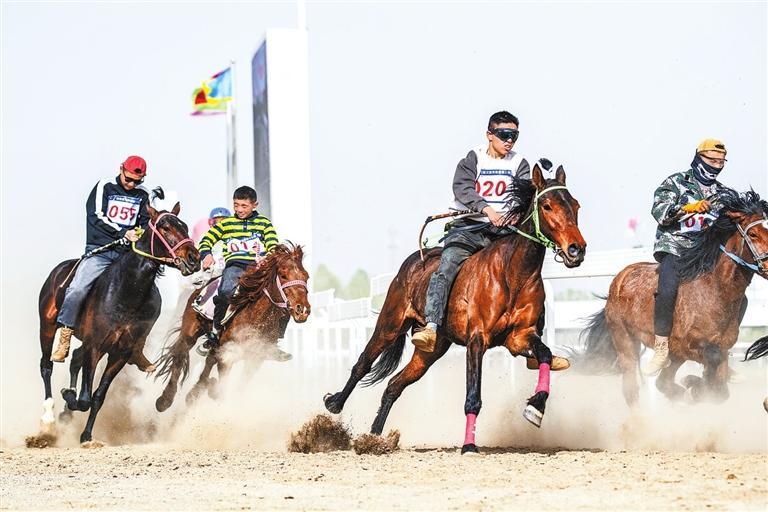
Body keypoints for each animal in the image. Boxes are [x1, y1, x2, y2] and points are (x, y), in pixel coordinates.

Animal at [37, 203, 200, 443]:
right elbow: (84, 399)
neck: (127, 290)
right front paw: (69, 396)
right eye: (165, 227)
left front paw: (86, 435)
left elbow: (97, 396)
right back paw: (48, 417)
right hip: (47, 326)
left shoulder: (120, 352)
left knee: (75, 357)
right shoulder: (95, 346)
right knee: (46, 366)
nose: (194, 259)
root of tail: (59, 270)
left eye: (185, 227)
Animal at [154, 243, 311, 412]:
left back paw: (194, 393)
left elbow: (239, 386)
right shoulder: (228, 355)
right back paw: (164, 400)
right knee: (180, 356)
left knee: (209, 359)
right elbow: (221, 387)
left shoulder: (255, 359)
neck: (255, 317)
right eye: (283, 276)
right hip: (190, 330)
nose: (302, 310)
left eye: (306, 277)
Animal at [323, 164, 586, 454]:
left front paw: (535, 407)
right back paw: (334, 404)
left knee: (393, 385)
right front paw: (469, 446)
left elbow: (545, 355)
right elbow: (473, 397)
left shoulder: (520, 337)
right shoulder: (477, 340)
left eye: (575, 205)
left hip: (431, 350)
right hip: (389, 325)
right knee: (362, 364)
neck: (512, 274)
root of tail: (413, 262)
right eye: (547, 206)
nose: (577, 249)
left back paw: (374, 437)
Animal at [577, 188, 768, 406]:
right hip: (625, 341)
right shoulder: (687, 346)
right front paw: (694, 386)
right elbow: (711, 363)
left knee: (663, 382)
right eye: (753, 233)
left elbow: (719, 390)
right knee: (632, 389)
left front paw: (694, 386)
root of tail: (619, 279)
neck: (714, 291)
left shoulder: (720, 348)